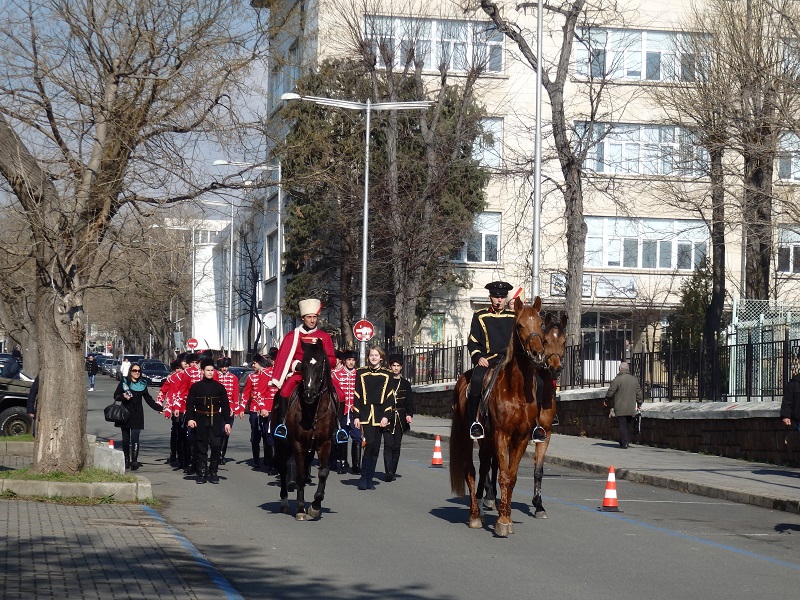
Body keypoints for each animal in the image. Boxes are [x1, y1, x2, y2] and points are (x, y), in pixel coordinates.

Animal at [450, 298, 544, 536]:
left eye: (541, 323)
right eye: (519, 325)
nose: (538, 354)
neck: (516, 389)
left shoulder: (521, 438)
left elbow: (511, 477)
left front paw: (506, 517)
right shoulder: (502, 435)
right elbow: (503, 475)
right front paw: (502, 521)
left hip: (487, 440)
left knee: (484, 466)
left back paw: (482, 509)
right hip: (467, 435)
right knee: (470, 470)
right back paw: (475, 515)